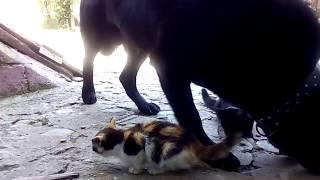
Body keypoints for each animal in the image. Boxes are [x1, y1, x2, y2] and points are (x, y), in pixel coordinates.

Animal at [91, 116, 241, 174]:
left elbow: (139, 161)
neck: (121, 139)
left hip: (167, 149)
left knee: (172, 166)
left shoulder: (140, 146)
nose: (92, 148)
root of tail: (194, 142)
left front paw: (136, 169)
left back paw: (156, 170)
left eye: (94, 146)